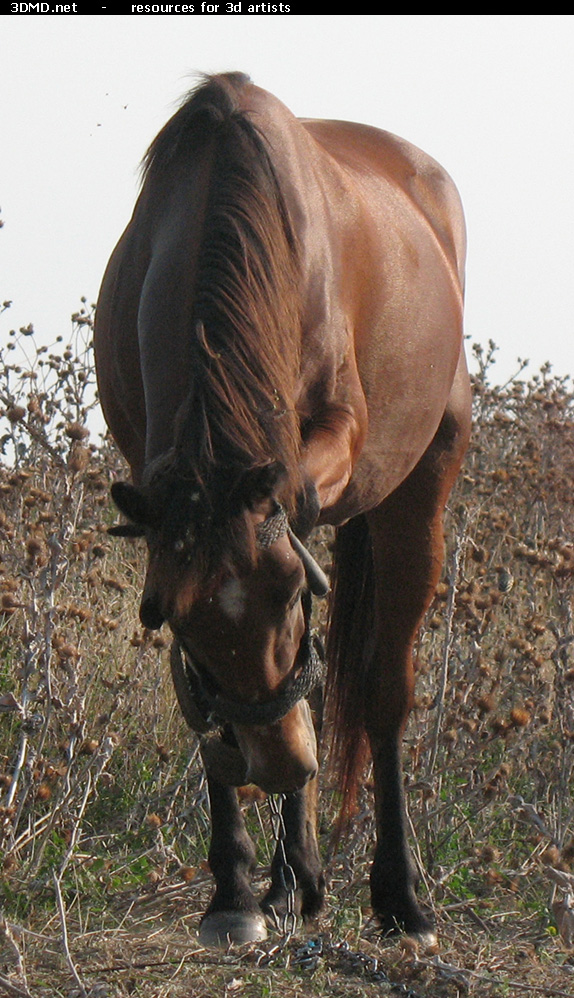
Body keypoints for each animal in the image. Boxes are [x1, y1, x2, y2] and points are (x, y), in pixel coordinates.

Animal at [95, 74, 472, 948]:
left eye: (292, 596)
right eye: (172, 619)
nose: (277, 765)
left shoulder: (327, 444)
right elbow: (208, 705)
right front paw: (236, 889)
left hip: (420, 495)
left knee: (382, 689)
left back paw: (400, 896)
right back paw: (294, 878)